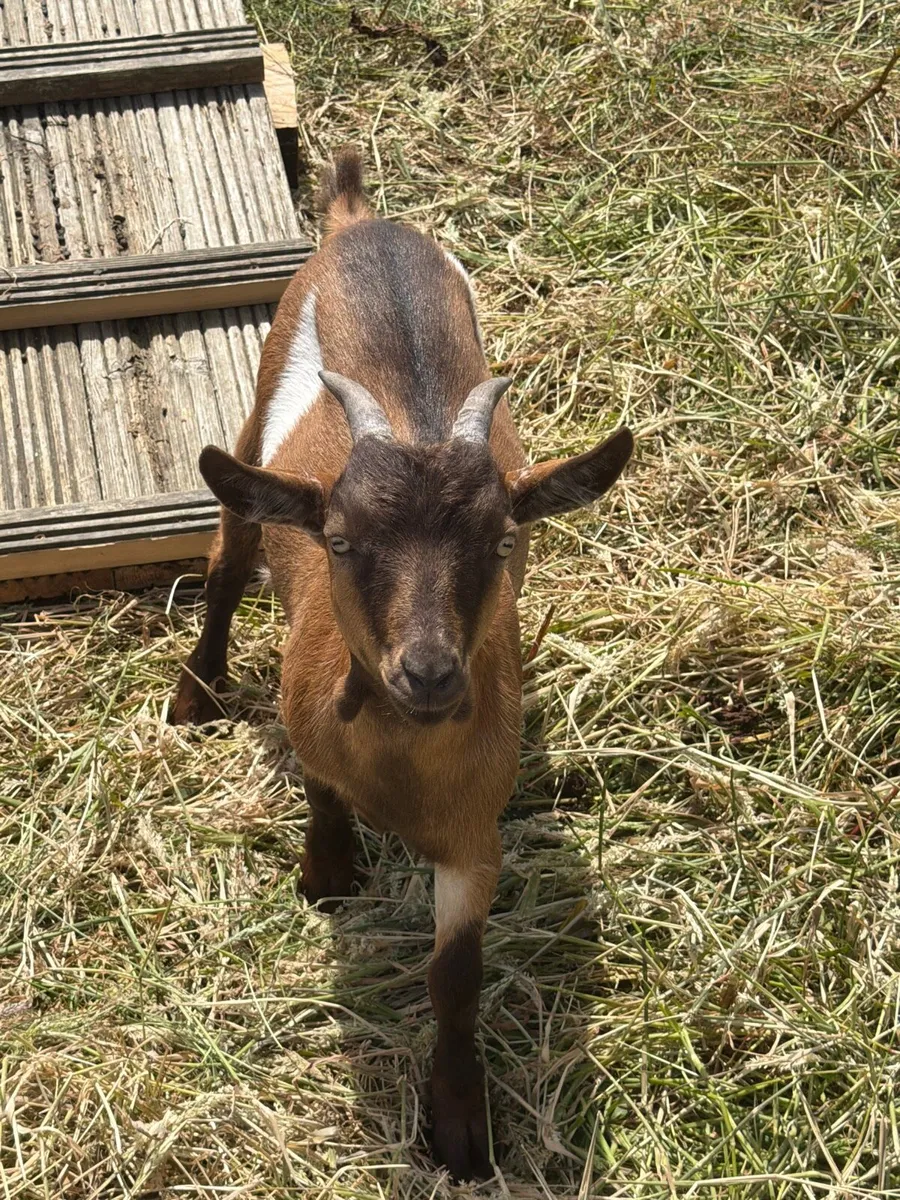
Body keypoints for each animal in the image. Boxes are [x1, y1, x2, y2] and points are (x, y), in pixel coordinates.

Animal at [172, 148, 633, 1180]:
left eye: (503, 540)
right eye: (341, 542)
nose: (427, 675)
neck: (402, 770)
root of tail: (360, 222)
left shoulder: (474, 836)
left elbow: (454, 974)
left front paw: (461, 1127)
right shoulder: (311, 718)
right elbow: (318, 787)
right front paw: (327, 872)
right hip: (258, 407)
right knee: (227, 560)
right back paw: (196, 691)